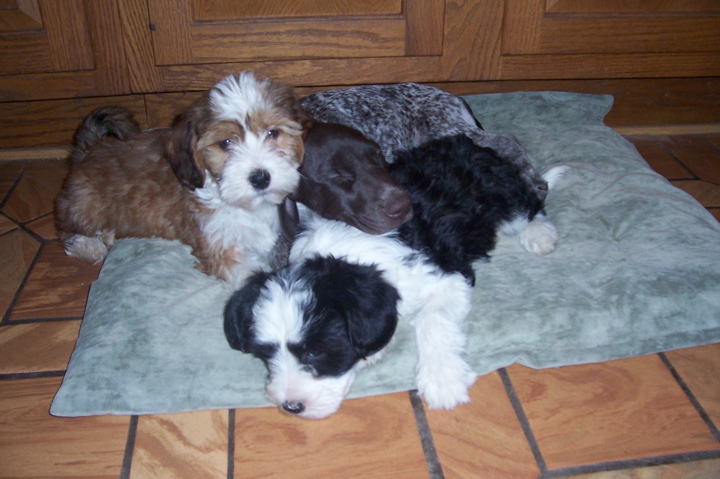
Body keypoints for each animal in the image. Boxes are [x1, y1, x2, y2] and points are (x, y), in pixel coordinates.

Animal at [53, 71, 306, 288]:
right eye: (225, 143)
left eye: (273, 133)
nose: (260, 178)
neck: (250, 206)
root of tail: (89, 150)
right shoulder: (217, 244)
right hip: (85, 202)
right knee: (67, 228)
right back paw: (89, 245)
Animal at [225, 135, 568, 420]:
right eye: (266, 354)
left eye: (315, 352)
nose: (291, 407)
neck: (349, 256)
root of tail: (468, 142)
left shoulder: (446, 275)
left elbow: (433, 319)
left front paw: (443, 381)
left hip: (499, 189)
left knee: (526, 206)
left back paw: (540, 233)